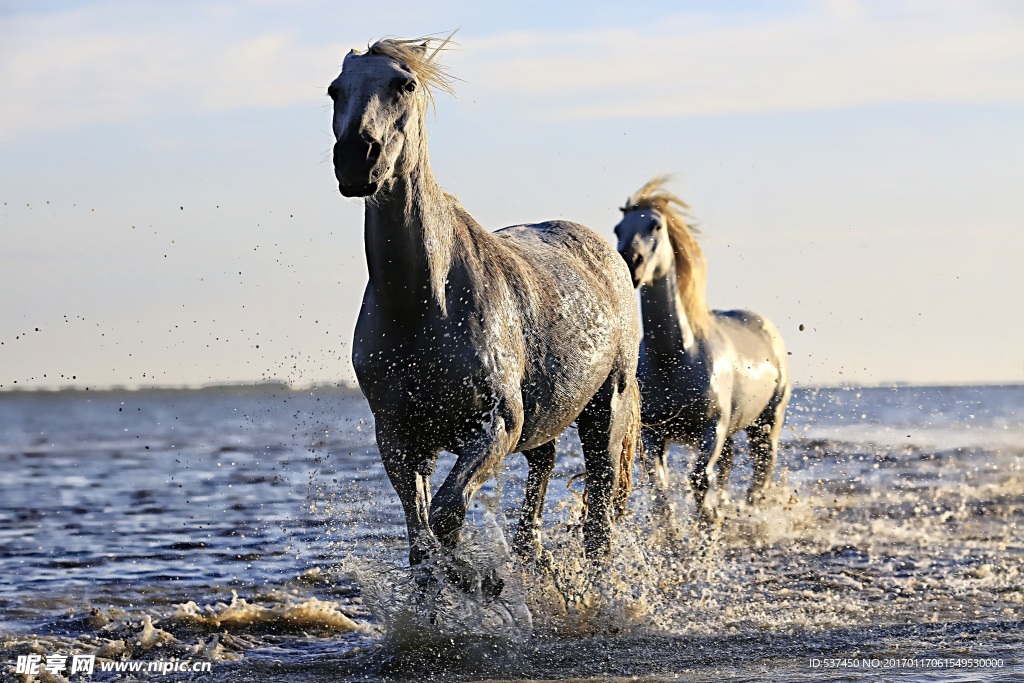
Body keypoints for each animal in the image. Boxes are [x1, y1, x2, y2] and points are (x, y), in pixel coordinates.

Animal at [328, 37, 641, 576]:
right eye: (334, 90)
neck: (424, 306)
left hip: (606, 411)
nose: (356, 158)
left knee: (599, 523)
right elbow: (422, 541)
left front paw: (475, 582)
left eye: (404, 84)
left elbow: (447, 515)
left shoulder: (496, 426)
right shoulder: (399, 438)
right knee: (540, 482)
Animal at [613, 177, 790, 526]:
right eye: (618, 229)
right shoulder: (654, 434)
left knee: (761, 469)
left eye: (655, 225)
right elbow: (660, 487)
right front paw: (673, 532)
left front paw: (706, 522)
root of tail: (766, 328)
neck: (674, 357)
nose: (630, 261)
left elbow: (698, 480)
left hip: (766, 423)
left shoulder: (712, 428)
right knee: (728, 465)